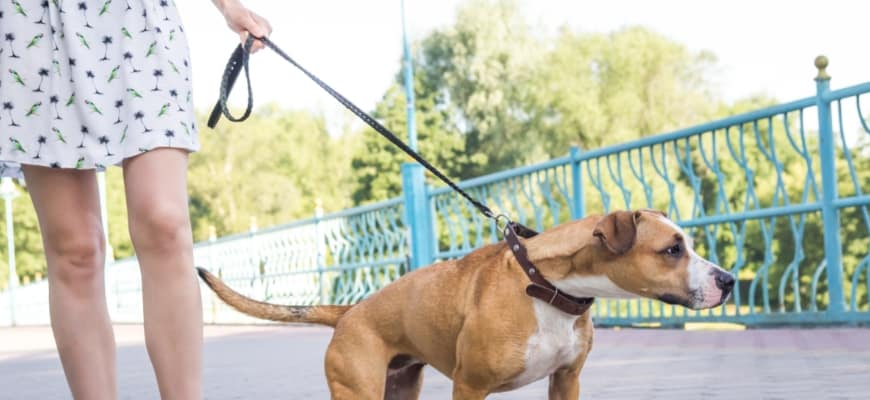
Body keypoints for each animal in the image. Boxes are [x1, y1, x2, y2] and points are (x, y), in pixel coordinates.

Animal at [198, 208, 736, 398]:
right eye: (672, 250)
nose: (729, 280)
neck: (547, 287)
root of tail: (351, 312)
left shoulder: (567, 381)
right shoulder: (471, 387)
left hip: (400, 389)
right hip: (359, 392)